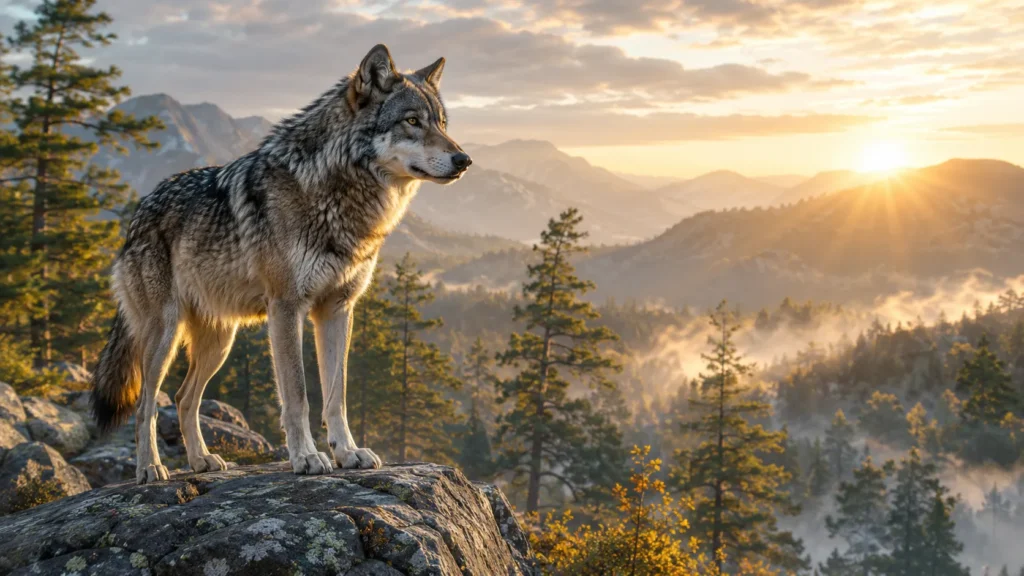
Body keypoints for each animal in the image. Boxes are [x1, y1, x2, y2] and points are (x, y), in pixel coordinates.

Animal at [91, 44, 471, 484]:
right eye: (412, 121)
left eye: (442, 123)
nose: (464, 159)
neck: (336, 192)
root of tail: (136, 214)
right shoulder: (287, 309)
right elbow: (298, 395)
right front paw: (305, 457)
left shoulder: (338, 309)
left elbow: (336, 396)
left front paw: (348, 452)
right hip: (163, 336)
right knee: (146, 406)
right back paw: (150, 467)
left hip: (220, 342)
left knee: (186, 398)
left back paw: (201, 461)